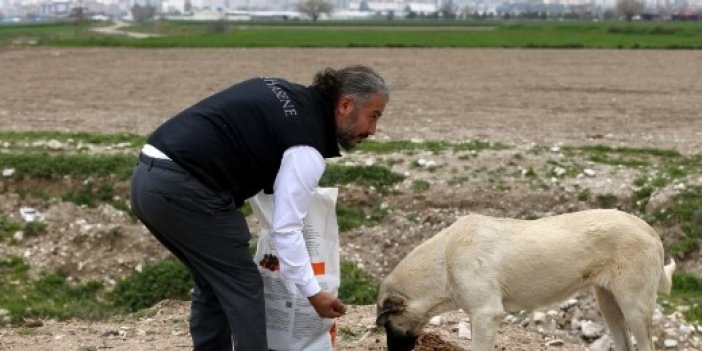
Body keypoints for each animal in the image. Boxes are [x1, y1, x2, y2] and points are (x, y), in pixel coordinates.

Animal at [376, 210, 680, 350]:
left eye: (388, 324)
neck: (445, 260)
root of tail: (649, 229)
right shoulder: (478, 317)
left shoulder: (486, 314)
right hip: (608, 304)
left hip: (634, 307)